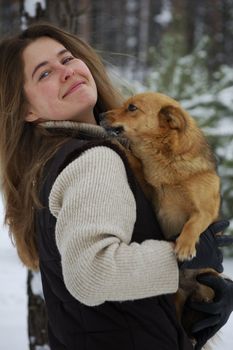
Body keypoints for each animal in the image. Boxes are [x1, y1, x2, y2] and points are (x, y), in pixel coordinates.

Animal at [99, 92, 220, 340]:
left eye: (132, 108)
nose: (99, 115)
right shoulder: (151, 193)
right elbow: (134, 164)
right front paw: (119, 146)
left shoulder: (207, 208)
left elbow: (193, 223)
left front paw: (185, 246)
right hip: (178, 299)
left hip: (208, 291)